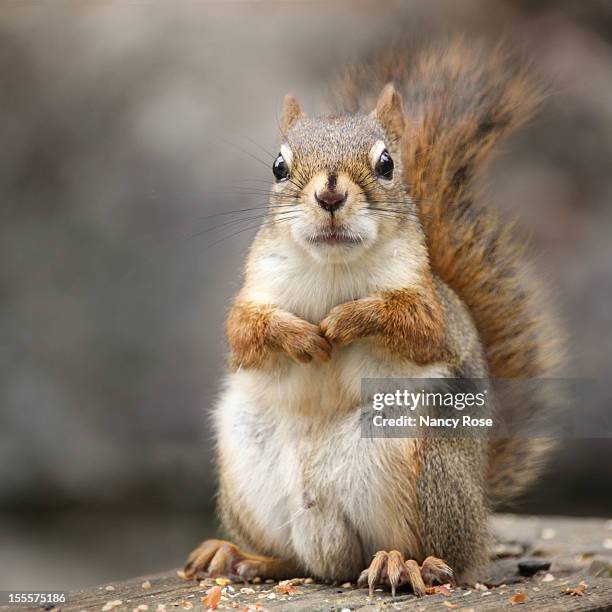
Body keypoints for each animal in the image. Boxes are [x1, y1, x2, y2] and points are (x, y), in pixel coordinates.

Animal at [184, 40, 560, 596]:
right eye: (278, 166)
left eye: (386, 164)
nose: (330, 195)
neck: (331, 268)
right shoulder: (254, 294)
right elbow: (246, 332)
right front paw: (300, 334)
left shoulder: (430, 307)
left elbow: (411, 324)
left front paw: (344, 321)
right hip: (246, 470)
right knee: (299, 561)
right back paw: (238, 555)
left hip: (426, 470)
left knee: (444, 557)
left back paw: (403, 564)